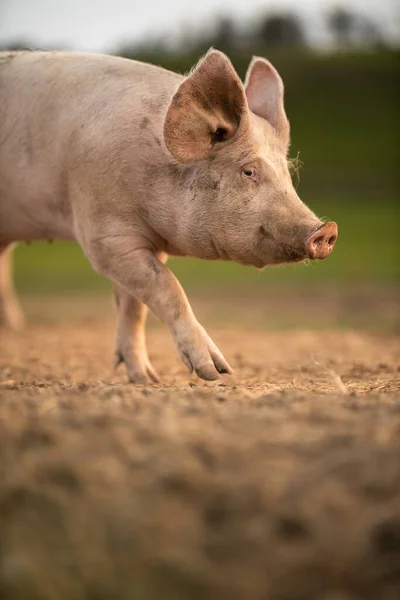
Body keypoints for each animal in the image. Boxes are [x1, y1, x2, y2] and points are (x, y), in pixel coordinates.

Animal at [0, 50, 338, 380]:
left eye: (288, 172)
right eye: (249, 171)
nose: (326, 229)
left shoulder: (151, 241)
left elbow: (134, 305)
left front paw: (146, 379)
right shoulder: (104, 235)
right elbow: (167, 287)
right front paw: (216, 372)